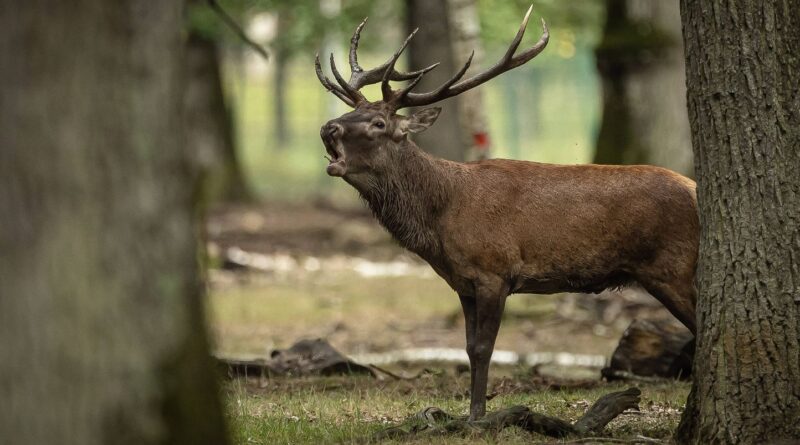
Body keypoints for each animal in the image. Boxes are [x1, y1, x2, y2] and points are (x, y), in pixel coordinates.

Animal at [316, 6, 696, 420]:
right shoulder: (462, 282)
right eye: (351, 111)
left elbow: (485, 348)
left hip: (673, 268)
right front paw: (470, 412)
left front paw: (477, 416)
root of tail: (695, 188)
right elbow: (467, 348)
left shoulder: (494, 270)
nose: (327, 127)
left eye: (378, 123)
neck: (441, 217)